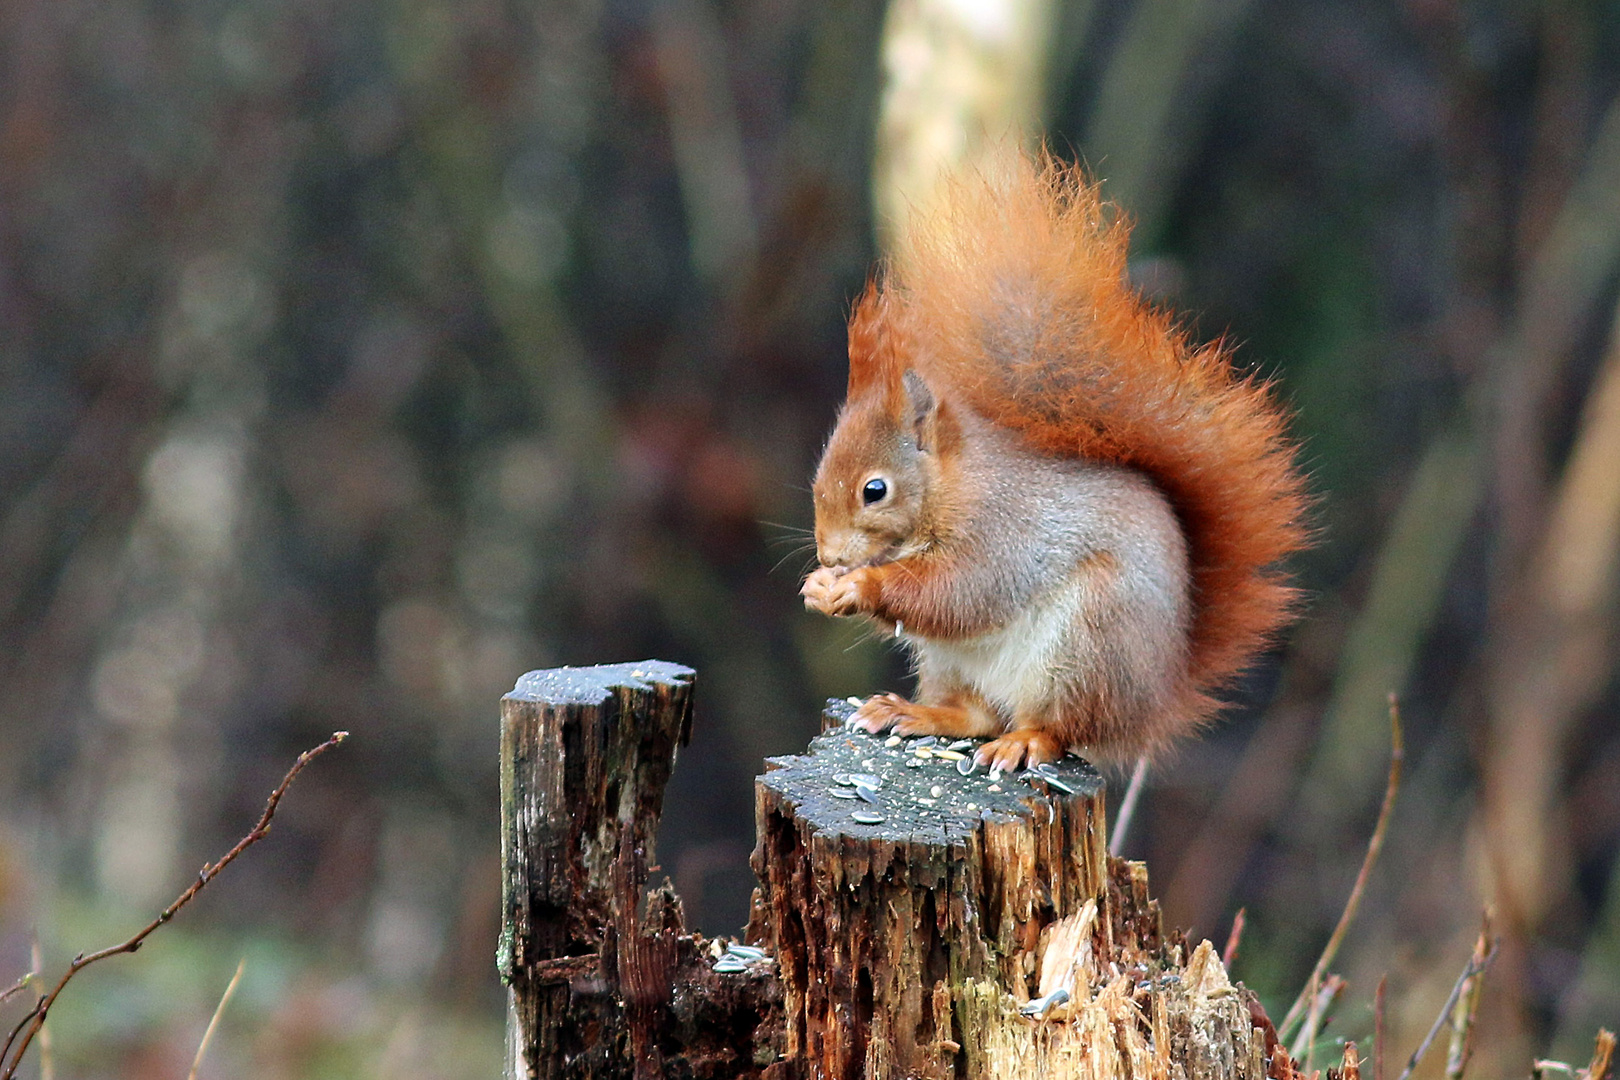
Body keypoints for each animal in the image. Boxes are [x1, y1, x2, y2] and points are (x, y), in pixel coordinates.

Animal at [803, 153, 1308, 777]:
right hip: (952, 663)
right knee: (977, 713)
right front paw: (819, 586)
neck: (953, 487)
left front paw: (858, 585)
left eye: (875, 490)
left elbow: (961, 592)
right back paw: (914, 712)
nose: (830, 556)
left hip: (1089, 642)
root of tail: (1156, 699)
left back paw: (1024, 742)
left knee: (1058, 727)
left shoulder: (1002, 533)